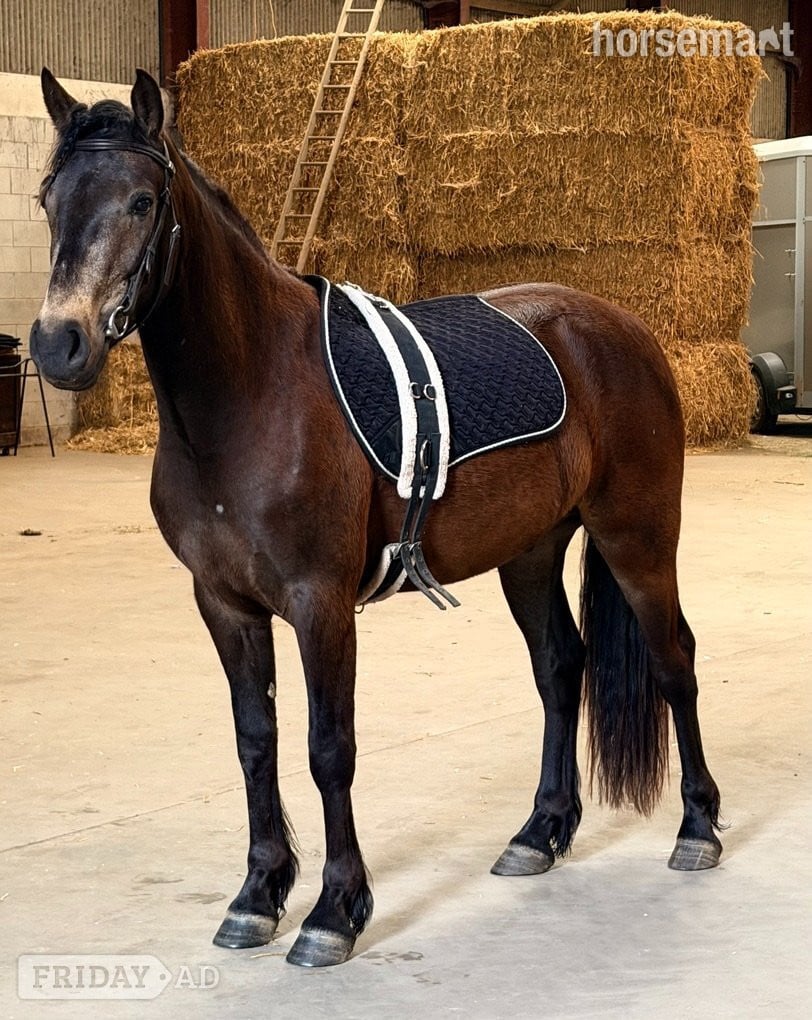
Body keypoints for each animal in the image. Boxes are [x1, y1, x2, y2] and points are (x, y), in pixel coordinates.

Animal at [31, 69, 723, 968]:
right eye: (49, 198)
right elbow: (256, 740)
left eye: (142, 201)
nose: (59, 345)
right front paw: (258, 895)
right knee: (559, 669)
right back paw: (539, 832)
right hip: (531, 553)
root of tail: (625, 327)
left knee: (675, 662)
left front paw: (334, 911)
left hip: (637, 537)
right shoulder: (224, 605)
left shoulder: (319, 603)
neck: (249, 393)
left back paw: (698, 826)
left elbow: (330, 749)